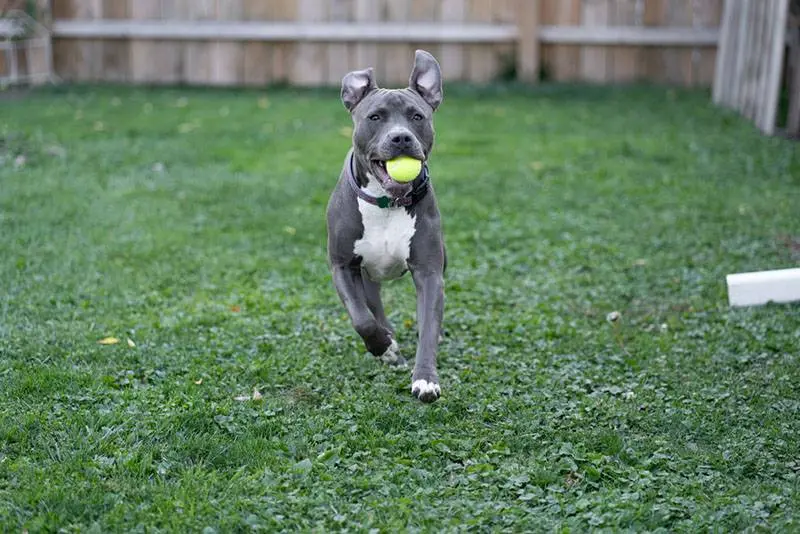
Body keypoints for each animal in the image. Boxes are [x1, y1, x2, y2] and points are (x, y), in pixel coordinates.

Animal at [326, 50, 450, 404]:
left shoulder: (429, 272)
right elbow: (362, 319)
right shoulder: (343, 267)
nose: (401, 137)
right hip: (366, 276)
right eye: (375, 117)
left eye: (417, 116)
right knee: (373, 308)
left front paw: (425, 379)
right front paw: (385, 348)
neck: (386, 203)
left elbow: (428, 327)